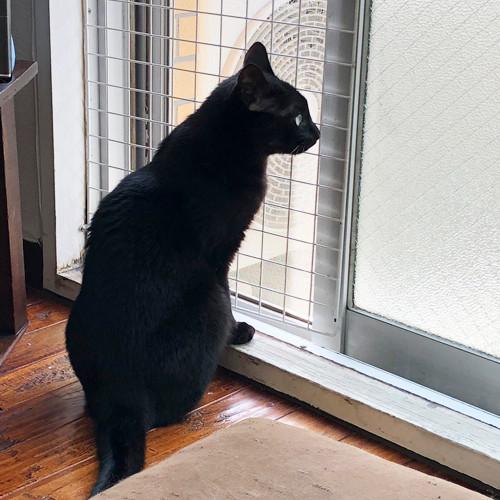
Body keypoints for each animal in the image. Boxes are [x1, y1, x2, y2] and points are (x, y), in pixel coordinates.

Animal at [65, 42, 320, 496]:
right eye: (296, 116)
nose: (319, 131)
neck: (224, 148)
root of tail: (122, 401)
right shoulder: (220, 257)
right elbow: (233, 299)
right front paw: (241, 332)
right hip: (208, 301)